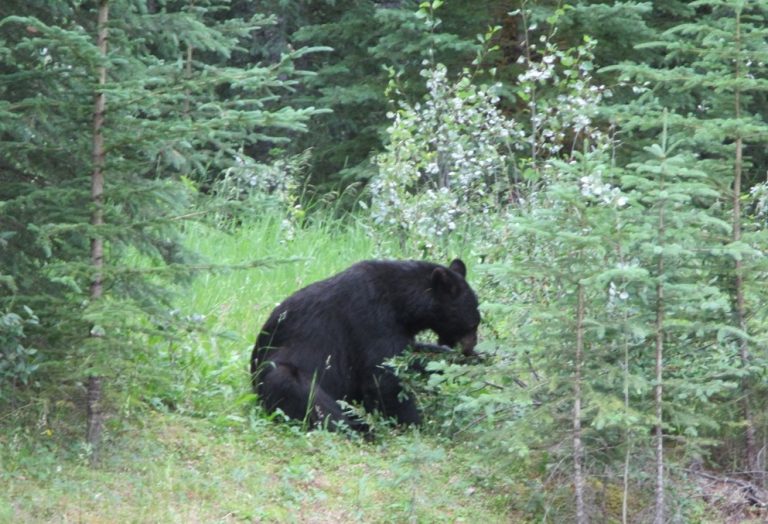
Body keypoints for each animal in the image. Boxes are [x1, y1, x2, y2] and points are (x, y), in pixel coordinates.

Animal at [250, 258, 480, 434]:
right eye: (473, 324)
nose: (470, 346)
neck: (402, 302)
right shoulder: (371, 318)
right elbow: (383, 378)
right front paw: (416, 423)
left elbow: (412, 356)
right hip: (279, 371)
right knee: (298, 389)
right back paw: (360, 428)